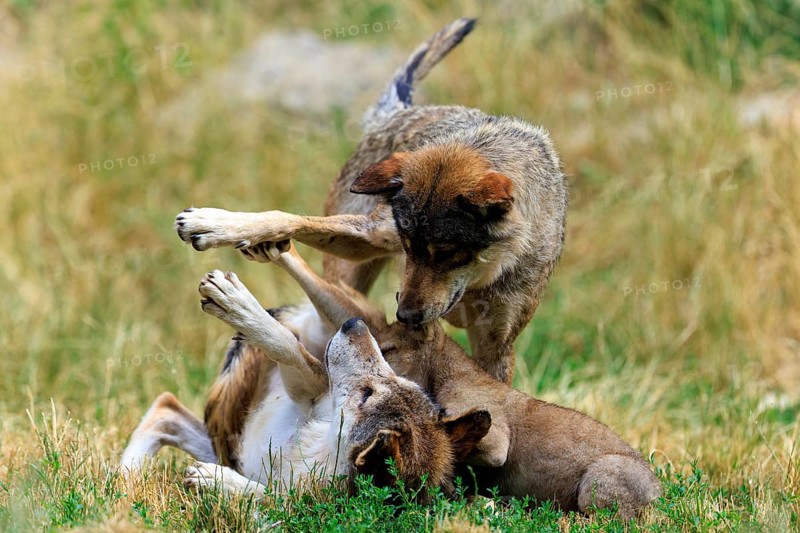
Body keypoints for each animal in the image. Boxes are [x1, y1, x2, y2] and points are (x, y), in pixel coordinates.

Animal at [174, 17, 568, 384]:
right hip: (353, 261)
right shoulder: (376, 234)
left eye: (449, 252)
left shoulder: (497, 344)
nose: (405, 317)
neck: (481, 279)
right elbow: (285, 216)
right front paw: (214, 223)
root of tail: (397, 113)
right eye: (408, 247)